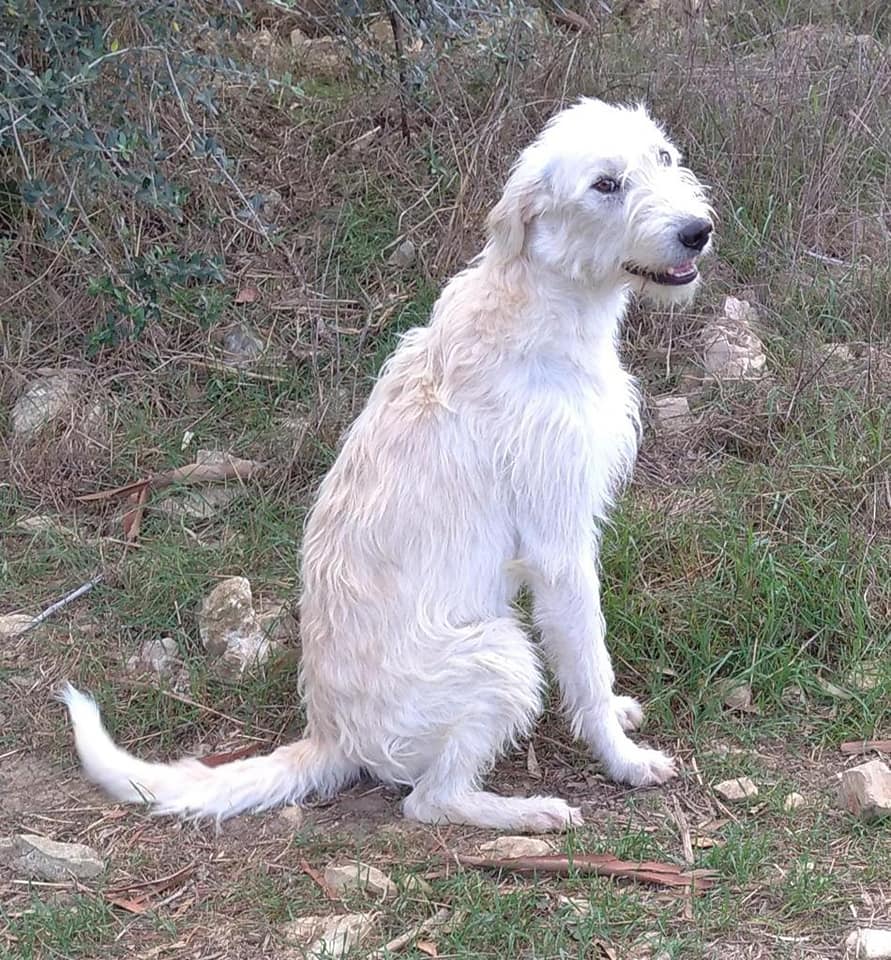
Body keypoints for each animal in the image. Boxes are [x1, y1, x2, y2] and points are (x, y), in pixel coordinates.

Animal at [59, 99, 716, 832]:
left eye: (663, 157)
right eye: (605, 184)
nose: (698, 232)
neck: (540, 303)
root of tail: (329, 736)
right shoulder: (558, 546)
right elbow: (587, 655)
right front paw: (622, 758)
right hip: (501, 657)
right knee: (428, 802)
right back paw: (529, 811)